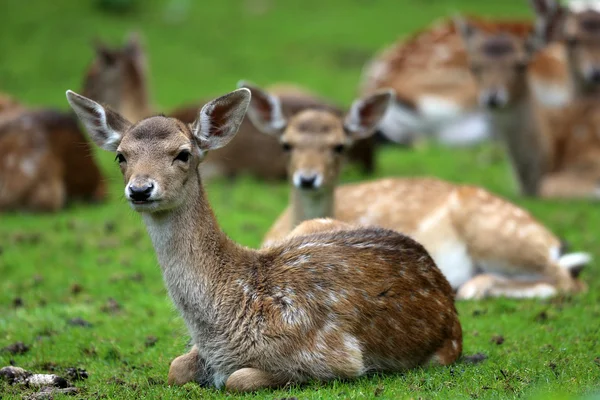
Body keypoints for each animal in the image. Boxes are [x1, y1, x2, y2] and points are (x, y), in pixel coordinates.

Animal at [65, 88, 462, 394]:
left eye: (183, 153)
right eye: (121, 156)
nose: (140, 189)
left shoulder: (336, 355)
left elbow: (238, 379)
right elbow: (175, 367)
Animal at [240, 82, 592, 300]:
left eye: (340, 146)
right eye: (286, 144)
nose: (307, 179)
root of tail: (550, 239)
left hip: (500, 237)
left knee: (569, 280)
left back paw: (472, 288)